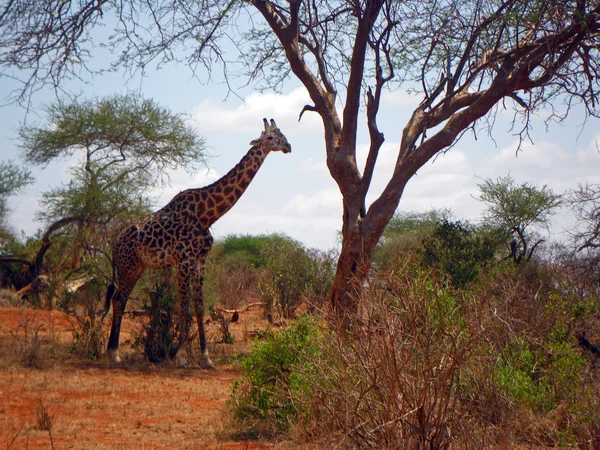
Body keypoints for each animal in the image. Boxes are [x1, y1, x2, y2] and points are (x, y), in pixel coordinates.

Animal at [102, 118, 292, 370]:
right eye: (270, 137)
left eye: (282, 134)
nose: (288, 146)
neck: (207, 214)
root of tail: (114, 243)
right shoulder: (183, 260)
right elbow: (183, 307)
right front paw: (181, 357)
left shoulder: (200, 261)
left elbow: (200, 308)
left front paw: (206, 358)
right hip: (128, 266)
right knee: (119, 299)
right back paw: (114, 355)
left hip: (137, 266)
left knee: (118, 298)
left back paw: (112, 352)